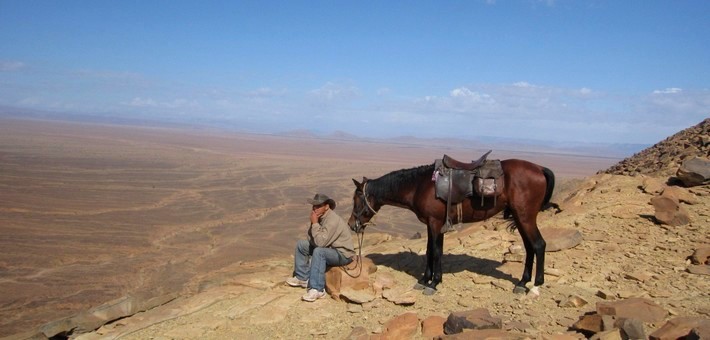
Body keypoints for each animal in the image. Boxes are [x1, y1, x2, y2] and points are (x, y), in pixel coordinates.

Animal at [350, 157, 556, 294]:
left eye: (357, 199)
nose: (352, 224)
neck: (418, 186)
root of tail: (539, 168)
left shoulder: (435, 223)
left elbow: (435, 252)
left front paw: (433, 283)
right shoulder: (432, 224)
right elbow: (430, 251)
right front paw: (425, 280)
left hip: (525, 217)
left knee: (539, 245)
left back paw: (536, 284)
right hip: (521, 218)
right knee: (529, 247)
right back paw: (522, 282)